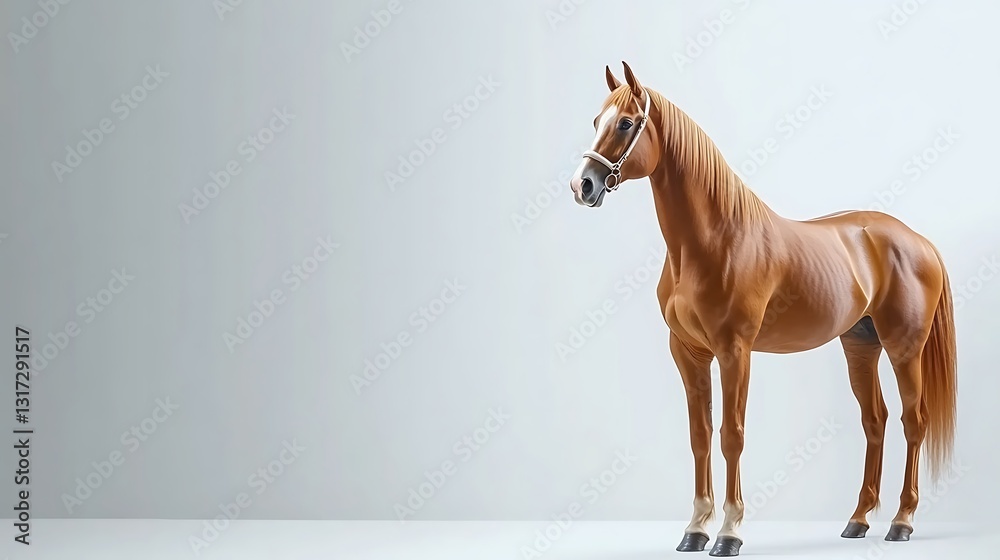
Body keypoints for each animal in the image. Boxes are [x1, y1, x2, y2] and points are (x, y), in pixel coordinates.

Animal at [568, 62, 957, 556]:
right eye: (595, 121)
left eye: (625, 123)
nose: (582, 185)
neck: (712, 241)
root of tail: (919, 240)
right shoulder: (688, 353)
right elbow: (700, 436)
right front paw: (695, 530)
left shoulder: (735, 351)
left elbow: (731, 436)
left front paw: (729, 533)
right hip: (860, 346)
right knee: (876, 421)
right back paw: (857, 520)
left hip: (904, 348)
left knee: (913, 421)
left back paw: (902, 522)